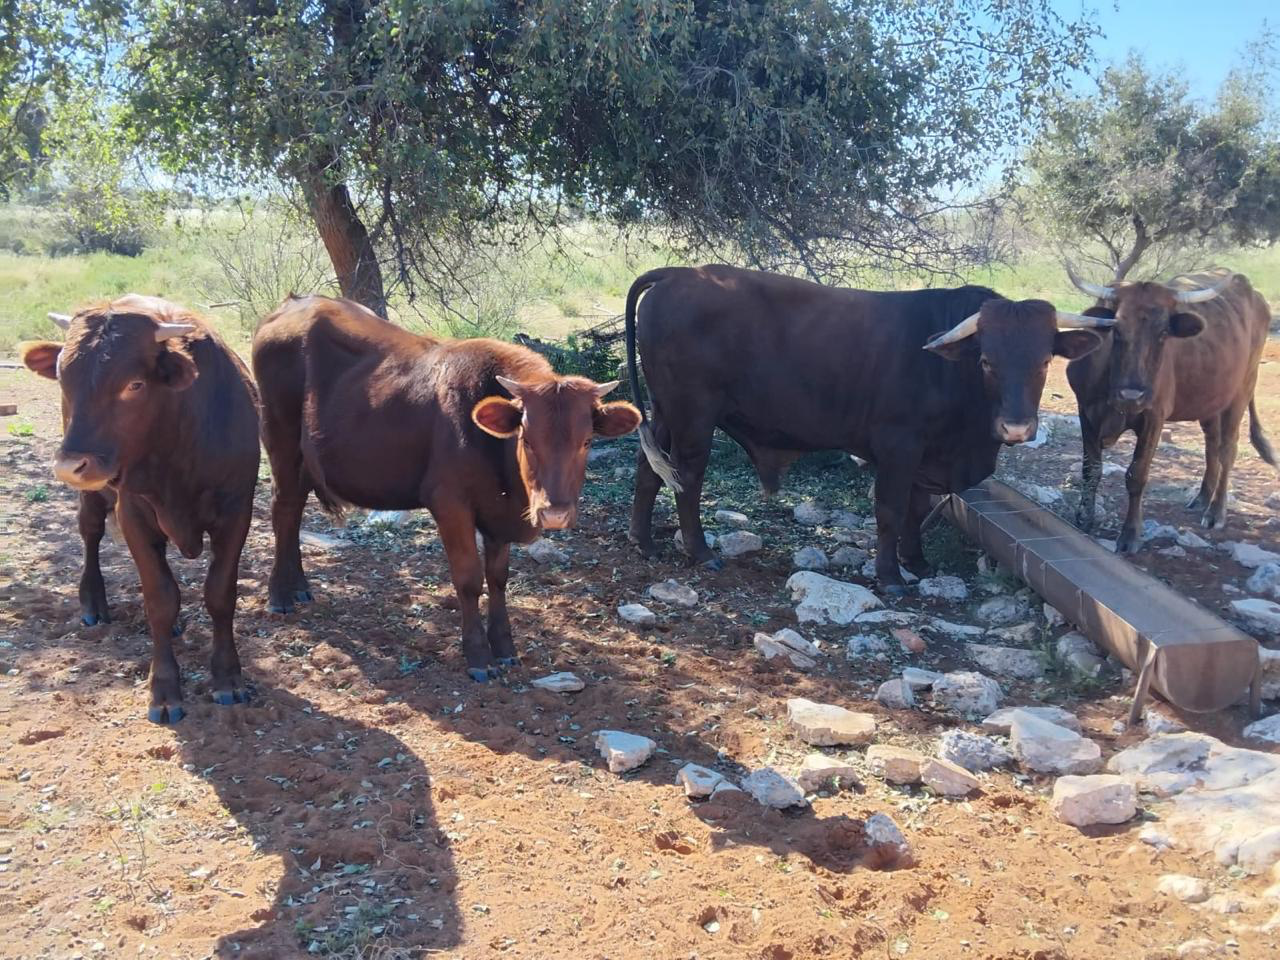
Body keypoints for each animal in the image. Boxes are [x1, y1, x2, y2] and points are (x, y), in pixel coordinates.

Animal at [19, 295, 260, 723]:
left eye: (134, 384)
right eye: (64, 379)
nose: (70, 466)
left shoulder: (236, 512)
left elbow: (220, 593)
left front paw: (228, 678)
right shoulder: (133, 514)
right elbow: (159, 599)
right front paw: (164, 690)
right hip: (93, 493)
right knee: (90, 532)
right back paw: (93, 602)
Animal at [251, 295, 641, 681]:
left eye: (587, 441)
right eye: (527, 439)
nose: (555, 513)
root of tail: (297, 303)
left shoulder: (497, 514)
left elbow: (498, 578)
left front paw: (505, 648)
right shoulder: (450, 504)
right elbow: (468, 578)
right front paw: (479, 655)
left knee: (294, 510)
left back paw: (299, 587)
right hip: (279, 439)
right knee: (283, 509)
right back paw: (280, 595)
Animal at [623, 265, 1114, 592]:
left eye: (1045, 361)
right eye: (988, 361)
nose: (1015, 428)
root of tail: (679, 274)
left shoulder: (926, 456)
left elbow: (917, 509)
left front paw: (917, 561)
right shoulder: (899, 446)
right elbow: (891, 511)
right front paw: (890, 576)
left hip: (664, 413)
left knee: (649, 472)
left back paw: (644, 542)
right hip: (693, 416)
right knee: (688, 477)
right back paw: (700, 551)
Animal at [1065, 267, 1276, 552]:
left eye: (1163, 333)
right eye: (1117, 329)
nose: (1132, 395)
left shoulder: (1154, 416)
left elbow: (1136, 475)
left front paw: (1130, 535)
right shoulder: (1086, 412)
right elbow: (1091, 470)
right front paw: (1084, 518)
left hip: (1241, 391)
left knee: (1227, 450)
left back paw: (1215, 512)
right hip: (1210, 401)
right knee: (1212, 445)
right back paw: (1202, 497)